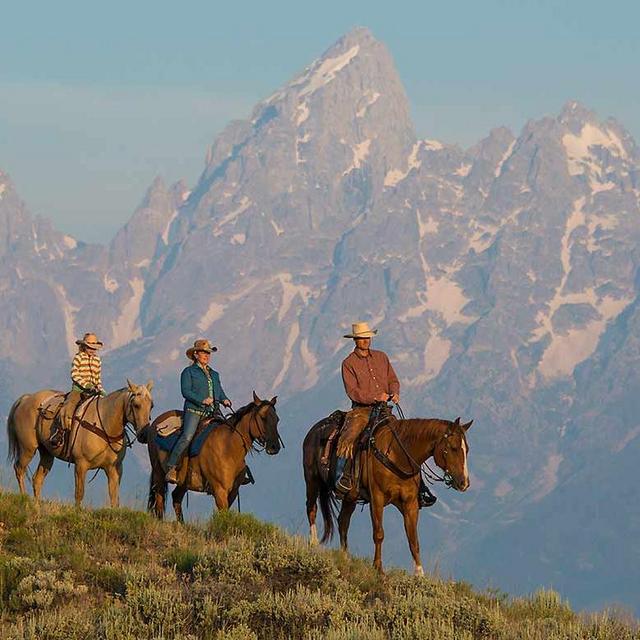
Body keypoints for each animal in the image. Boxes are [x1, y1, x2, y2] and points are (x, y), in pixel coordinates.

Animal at [6, 380, 154, 510]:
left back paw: (36, 507)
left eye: (151, 405)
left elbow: (114, 497)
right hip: (28, 449)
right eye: (136, 405)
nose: (144, 434)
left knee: (37, 479)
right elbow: (79, 493)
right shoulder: (81, 465)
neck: (105, 424)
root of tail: (26, 398)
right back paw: (24, 500)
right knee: (19, 469)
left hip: (47, 454)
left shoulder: (114, 469)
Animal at [148, 392, 282, 524]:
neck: (228, 448)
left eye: (277, 419)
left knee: (176, 497)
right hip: (158, 473)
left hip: (183, 483)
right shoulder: (220, 491)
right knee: (159, 502)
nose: (274, 447)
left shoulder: (232, 492)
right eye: (263, 417)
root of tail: (156, 422)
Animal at [302, 410, 472, 576]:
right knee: (312, 509)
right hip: (312, 481)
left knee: (343, 522)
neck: (398, 454)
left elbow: (413, 539)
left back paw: (345, 558)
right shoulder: (377, 498)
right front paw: (378, 568)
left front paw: (419, 574)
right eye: (454, 448)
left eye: (467, 449)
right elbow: (379, 533)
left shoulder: (410, 503)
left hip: (350, 497)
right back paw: (314, 544)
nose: (464, 483)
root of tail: (314, 429)